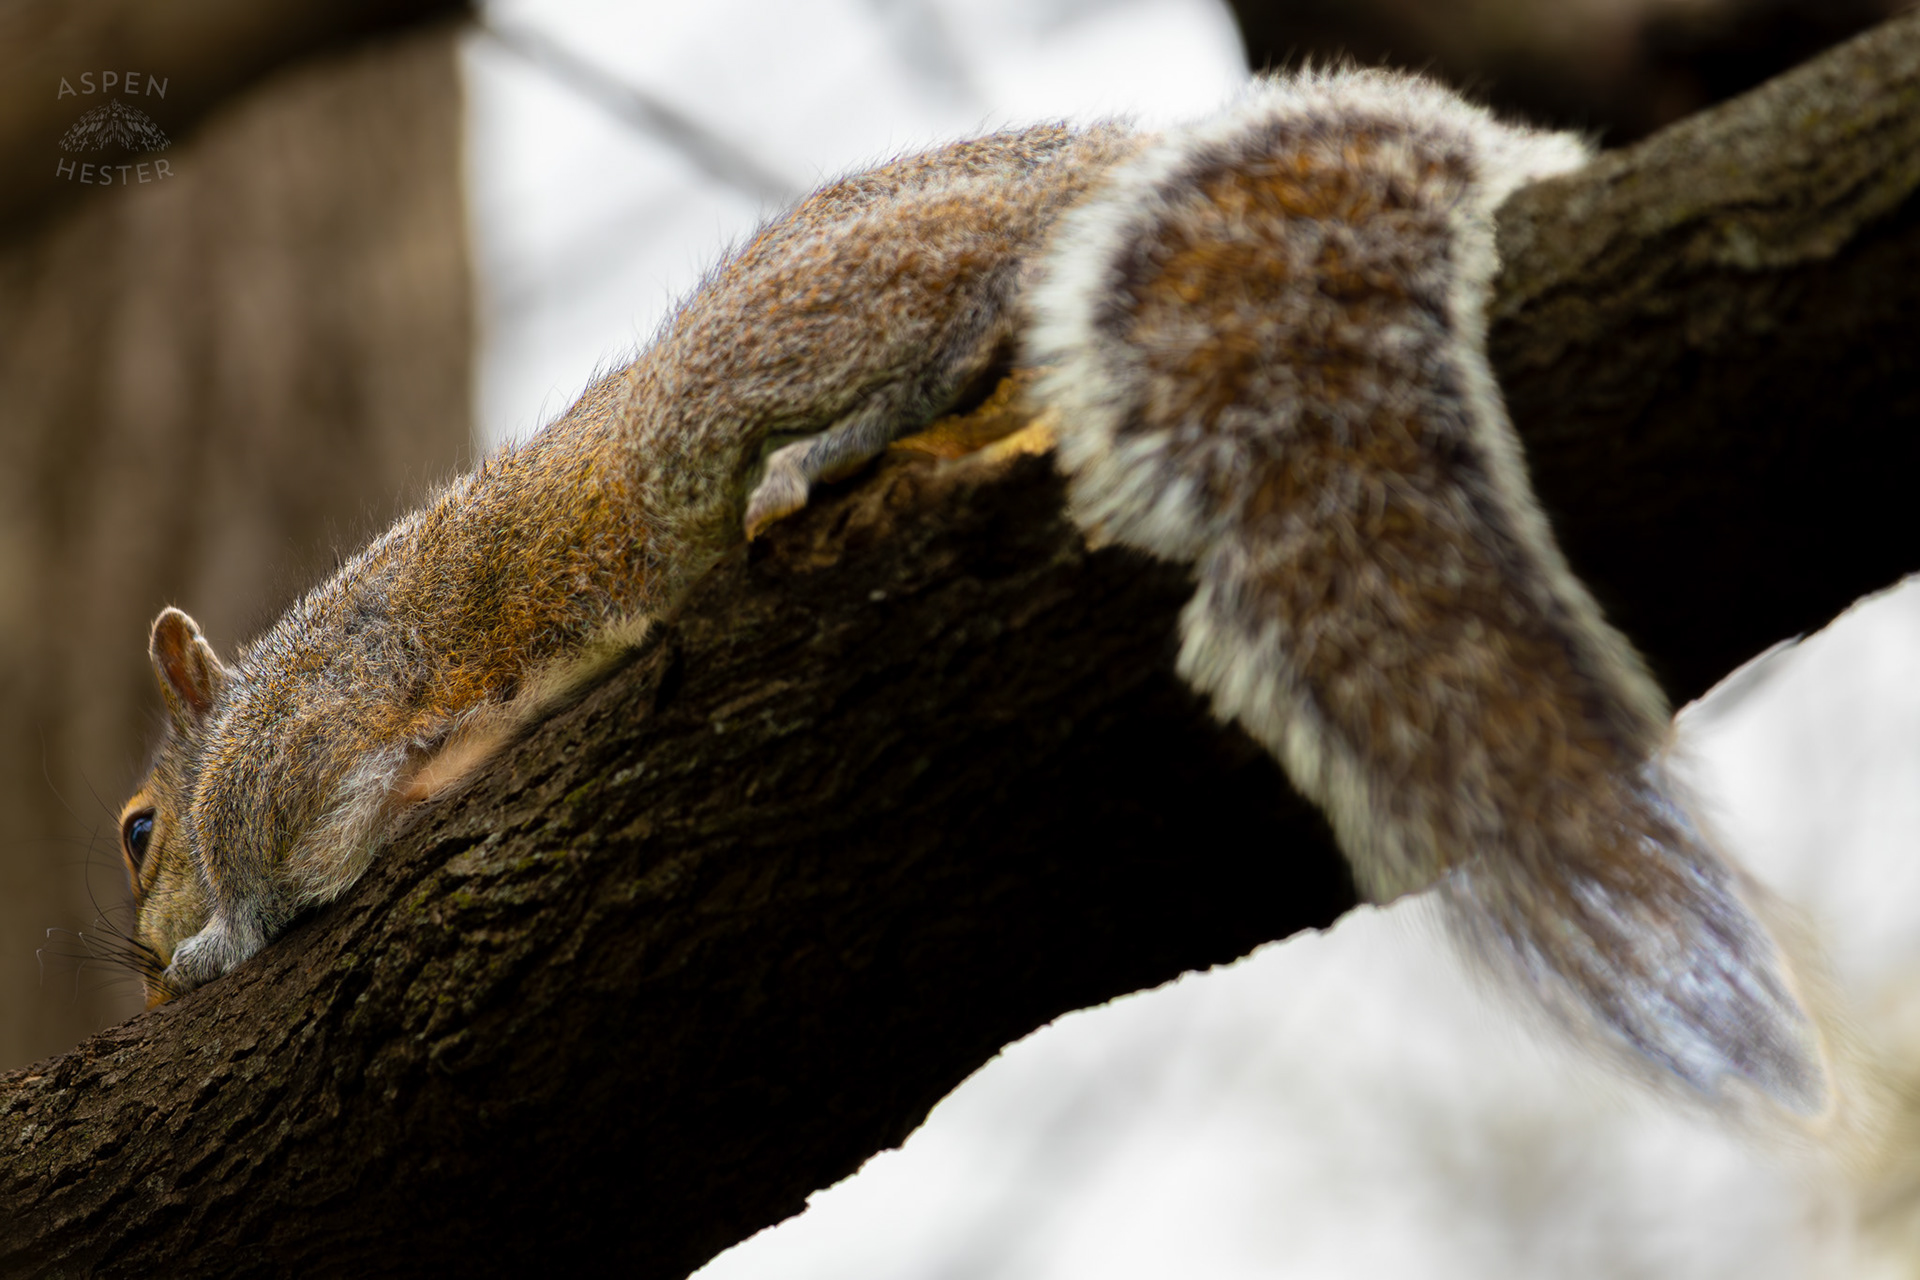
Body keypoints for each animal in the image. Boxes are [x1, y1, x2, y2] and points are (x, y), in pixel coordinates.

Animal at [115, 68, 1825, 1113]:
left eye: (135, 834)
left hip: (733, 391)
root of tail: (1107, 174)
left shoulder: (307, 737)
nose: (128, 963)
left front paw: (219, 947)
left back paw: (847, 434)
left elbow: (308, 860)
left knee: (958, 316)